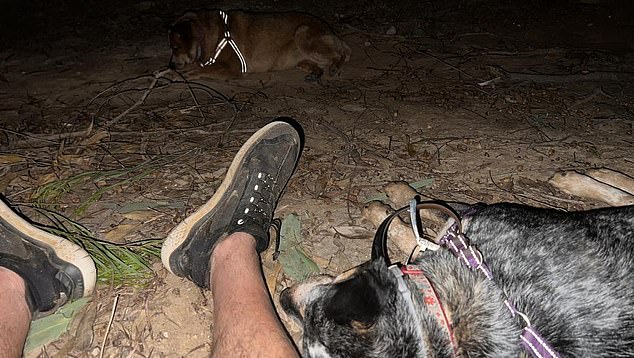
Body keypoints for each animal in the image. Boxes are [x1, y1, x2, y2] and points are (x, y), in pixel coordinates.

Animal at [168, 9, 348, 80]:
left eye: (175, 47)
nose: (171, 65)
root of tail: (331, 30)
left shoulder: (232, 68)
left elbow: (201, 69)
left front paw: (181, 74)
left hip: (302, 33)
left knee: (342, 54)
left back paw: (336, 67)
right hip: (303, 59)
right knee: (319, 65)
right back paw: (315, 73)